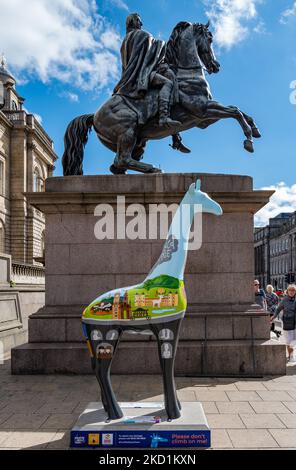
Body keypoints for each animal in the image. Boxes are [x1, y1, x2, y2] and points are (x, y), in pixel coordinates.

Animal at [63, 21, 262, 175]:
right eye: (210, 38)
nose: (215, 65)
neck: (185, 73)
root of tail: (94, 115)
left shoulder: (203, 118)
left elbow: (239, 111)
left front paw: (255, 130)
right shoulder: (203, 109)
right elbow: (235, 112)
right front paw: (248, 141)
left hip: (137, 142)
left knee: (116, 166)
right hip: (128, 131)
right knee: (122, 160)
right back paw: (153, 168)